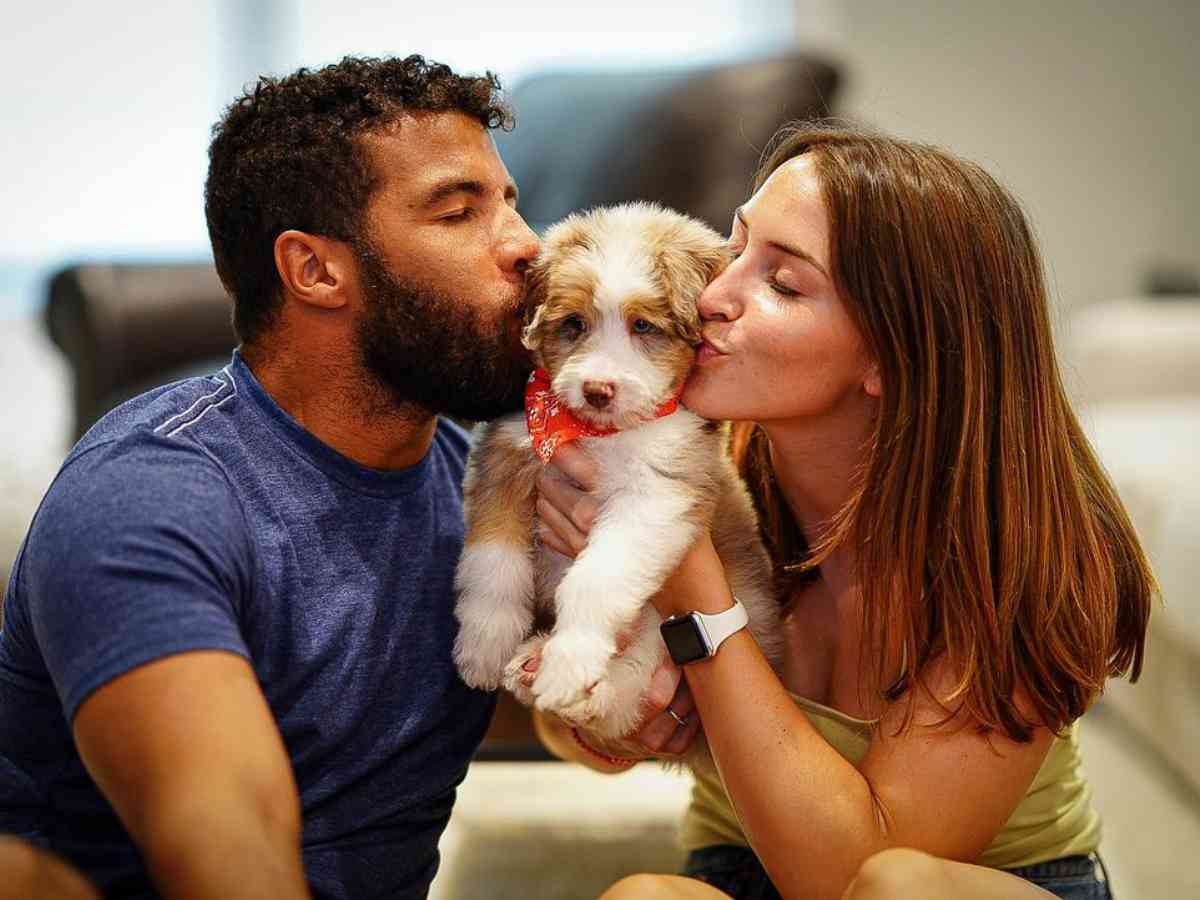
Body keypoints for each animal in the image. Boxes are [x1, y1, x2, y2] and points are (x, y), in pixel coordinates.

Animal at [451, 204, 777, 763]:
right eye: (574, 324)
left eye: (643, 325)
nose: (597, 389)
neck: (598, 433)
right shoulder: (505, 456)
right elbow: (493, 561)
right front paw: (484, 644)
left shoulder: (656, 495)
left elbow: (596, 578)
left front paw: (571, 660)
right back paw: (529, 661)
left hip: (675, 640)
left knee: (634, 687)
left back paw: (576, 684)